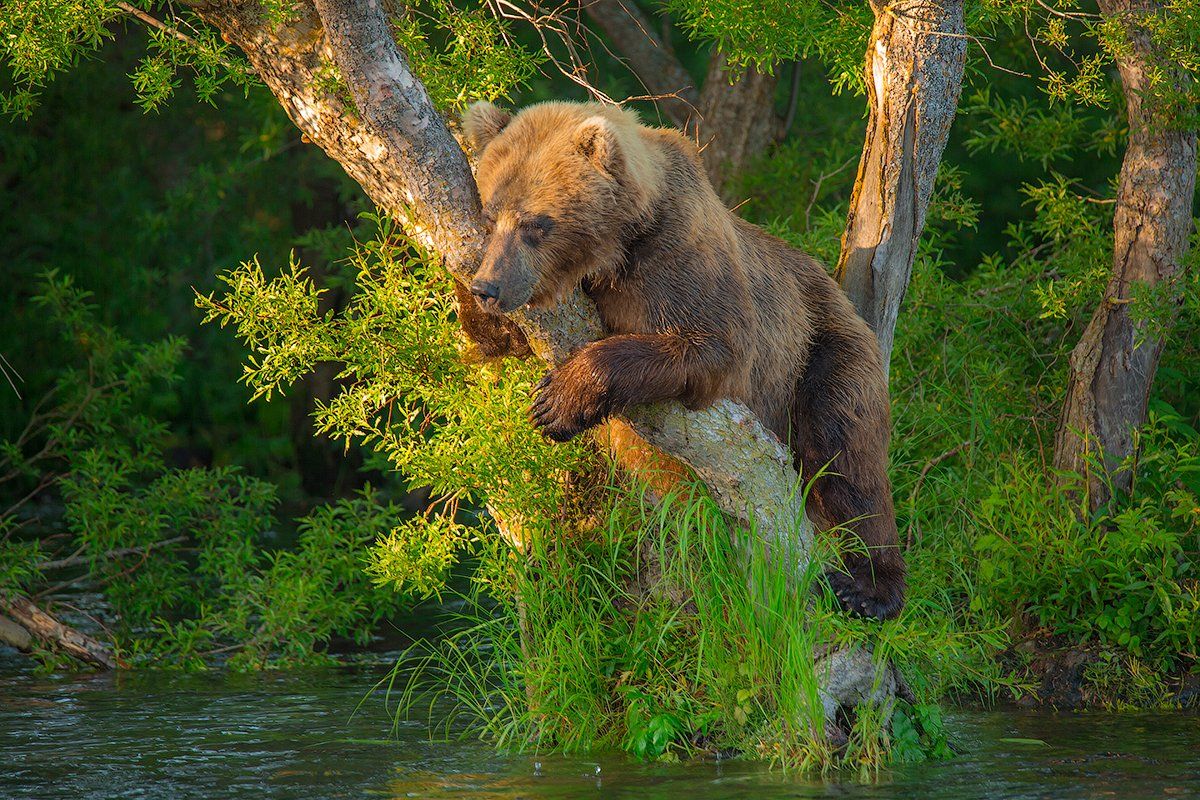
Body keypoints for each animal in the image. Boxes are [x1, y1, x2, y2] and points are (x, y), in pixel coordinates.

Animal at [453, 97, 902, 618]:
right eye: (490, 216)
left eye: (536, 224)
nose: (490, 287)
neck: (614, 253)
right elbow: (496, 342)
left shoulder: (679, 254)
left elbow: (713, 345)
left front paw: (557, 402)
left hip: (823, 346)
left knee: (845, 451)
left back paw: (869, 587)